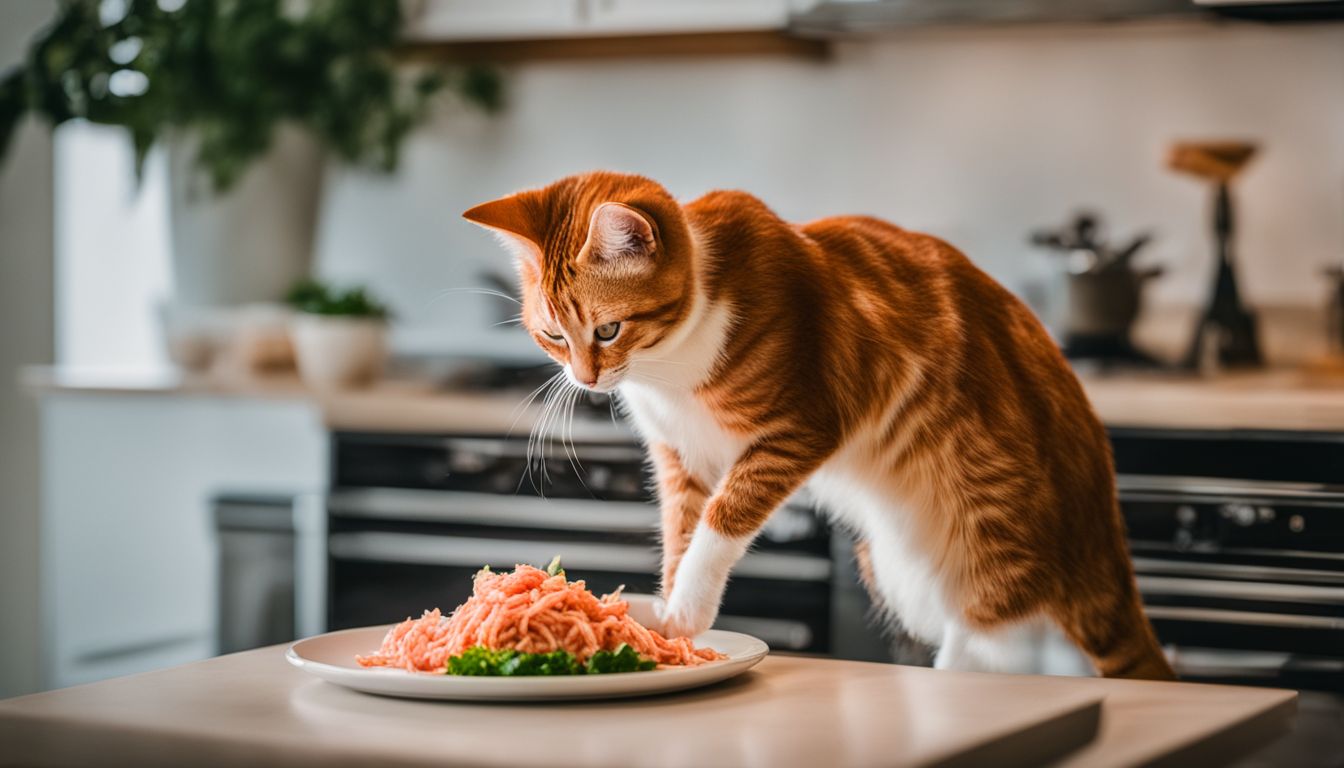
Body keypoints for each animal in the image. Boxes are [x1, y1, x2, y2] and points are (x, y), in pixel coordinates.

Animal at [465, 169, 1177, 677]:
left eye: (608, 330)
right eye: (554, 336)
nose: (586, 381)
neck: (668, 369)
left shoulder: (798, 428)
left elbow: (720, 521)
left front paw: (689, 607)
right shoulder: (680, 457)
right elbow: (680, 531)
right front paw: (665, 611)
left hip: (990, 570)